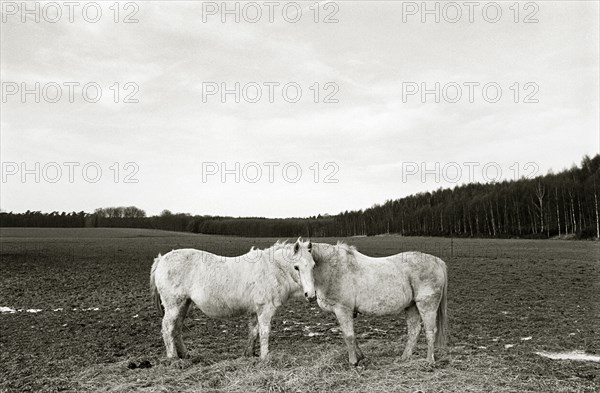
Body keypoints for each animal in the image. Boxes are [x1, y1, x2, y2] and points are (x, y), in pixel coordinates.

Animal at [150, 237, 316, 360]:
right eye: (296, 267)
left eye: (313, 266)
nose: (311, 295)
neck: (273, 268)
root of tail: (161, 259)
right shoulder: (265, 310)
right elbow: (264, 332)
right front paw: (265, 357)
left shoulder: (254, 310)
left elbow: (253, 331)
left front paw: (250, 354)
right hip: (174, 306)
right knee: (168, 328)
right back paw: (173, 358)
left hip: (184, 305)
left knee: (176, 329)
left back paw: (185, 355)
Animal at [310, 242, 446, 364]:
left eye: (311, 265)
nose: (309, 294)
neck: (333, 269)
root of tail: (438, 261)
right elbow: (349, 334)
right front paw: (360, 356)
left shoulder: (342, 310)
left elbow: (349, 336)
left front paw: (353, 361)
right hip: (412, 306)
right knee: (414, 331)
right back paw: (404, 358)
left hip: (427, 306)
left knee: (430, 331)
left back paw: (429, 361)